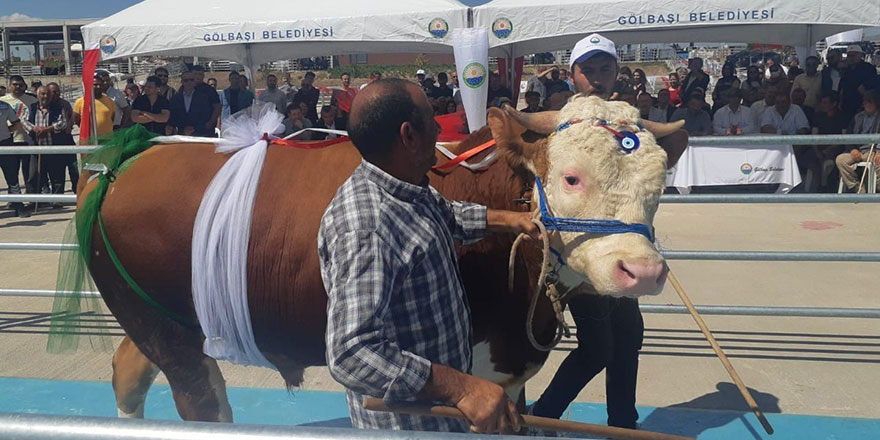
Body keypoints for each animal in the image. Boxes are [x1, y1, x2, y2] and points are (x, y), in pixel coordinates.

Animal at [87, 97, 680, 422]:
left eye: (659, 183)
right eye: (571, 177)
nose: (643, 272)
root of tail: (125, 162)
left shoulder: (508, 370)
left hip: (164, 321)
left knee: (128, 373)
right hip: (169, 334)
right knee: (200, 400)